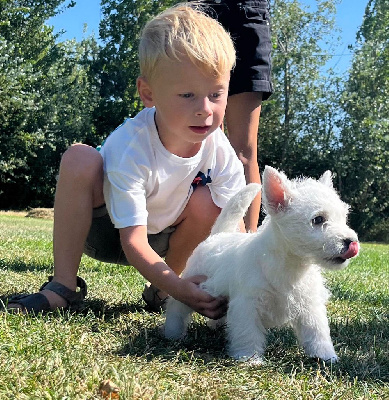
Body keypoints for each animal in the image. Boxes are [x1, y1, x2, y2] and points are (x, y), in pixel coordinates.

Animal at [163, 165, 358, 362]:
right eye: (318, 219)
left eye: (343, 217)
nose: (351, 241)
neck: (291, 265)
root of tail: (218, 235)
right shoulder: (247, 304)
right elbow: (247, 332)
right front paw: (249, 357)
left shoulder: (309, 305)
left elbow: (317, 332)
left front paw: (326, 356)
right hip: (193, 284)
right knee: (176, 307)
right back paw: (173, 333)